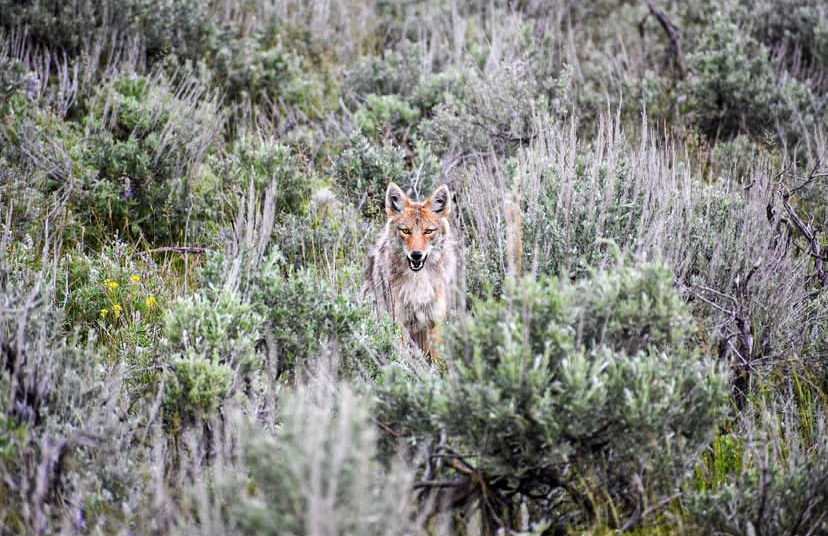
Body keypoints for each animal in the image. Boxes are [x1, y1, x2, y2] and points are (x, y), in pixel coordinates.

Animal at [364, 182, 458, 363]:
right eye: (405, 231)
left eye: (428, 231)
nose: (416, 255)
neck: (418, 281)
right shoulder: (399, 322)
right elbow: (403, 358)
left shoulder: (435, 321)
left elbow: (438, 360)